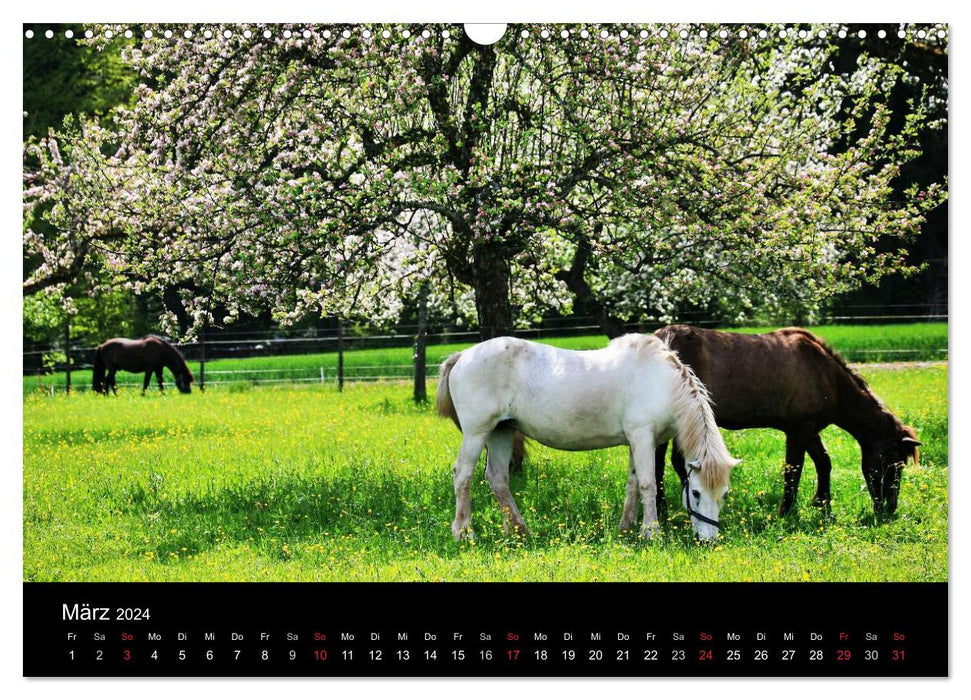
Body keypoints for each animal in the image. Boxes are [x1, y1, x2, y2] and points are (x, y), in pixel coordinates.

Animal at [436, 334, 740, 540]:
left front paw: (626, 529)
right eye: (696, 493)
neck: (661, 382)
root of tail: (463, 355)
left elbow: (633, 484)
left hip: (502, 431)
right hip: (478, 432)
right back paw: (464, 532)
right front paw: (651, 532)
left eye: (724, 493)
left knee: (498, 478)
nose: (708, 541)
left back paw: (521, 531)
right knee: (463, 475)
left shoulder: (637, 440)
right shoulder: (643, 437)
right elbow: (648, 485)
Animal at [652, 326, 920, 516]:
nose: (889, 508)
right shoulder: (798, 430)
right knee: (667, 462)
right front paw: (787, 510)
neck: (826, 375)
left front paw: (822, 504)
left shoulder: (810, 430)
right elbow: (794, 469)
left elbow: (824, 462)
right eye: (894, 463)